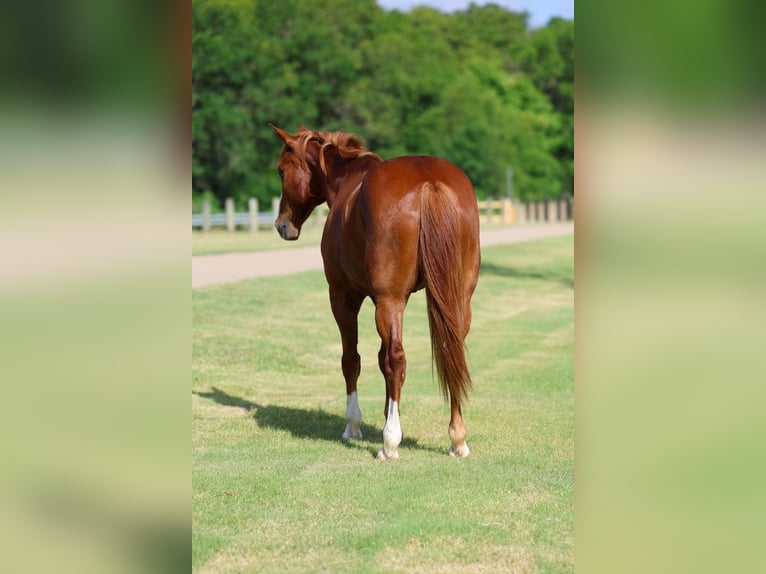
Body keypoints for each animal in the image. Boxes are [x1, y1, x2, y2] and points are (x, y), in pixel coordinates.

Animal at [269, 124, 480, 460]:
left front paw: (355, 426)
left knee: (397, 358)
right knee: (452, 351)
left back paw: (389, 443)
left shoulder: (344, 298)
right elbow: (381, 360)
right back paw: (457, 438)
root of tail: (429, 183)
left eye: (281, 170)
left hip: (388, 300)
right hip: (456, 298)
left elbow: (352, 360)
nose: (282, 225)